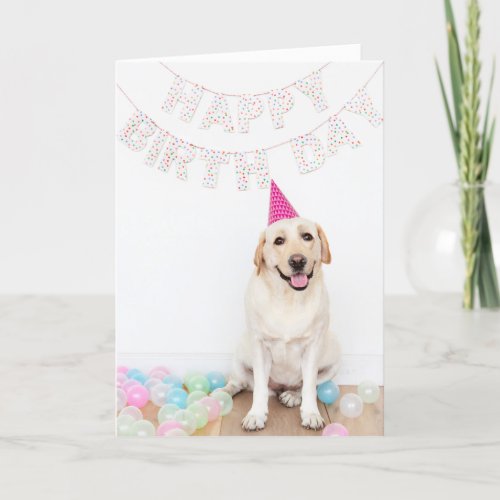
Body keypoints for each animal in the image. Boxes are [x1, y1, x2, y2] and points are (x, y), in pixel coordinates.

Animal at [222, 217, 340, 432]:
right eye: (278, 241)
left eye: (307, 236)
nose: (298, 260)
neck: (289, 298)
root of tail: (280, 387)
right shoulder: (259, 346)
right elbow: (259, 388)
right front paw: (256, 415)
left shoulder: (313, 347)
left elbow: (309, 386)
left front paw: (311, 414)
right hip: (239, 355)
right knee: (240, 383)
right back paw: (223, 392)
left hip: (334, 358)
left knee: (305, 385)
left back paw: (292, 395)